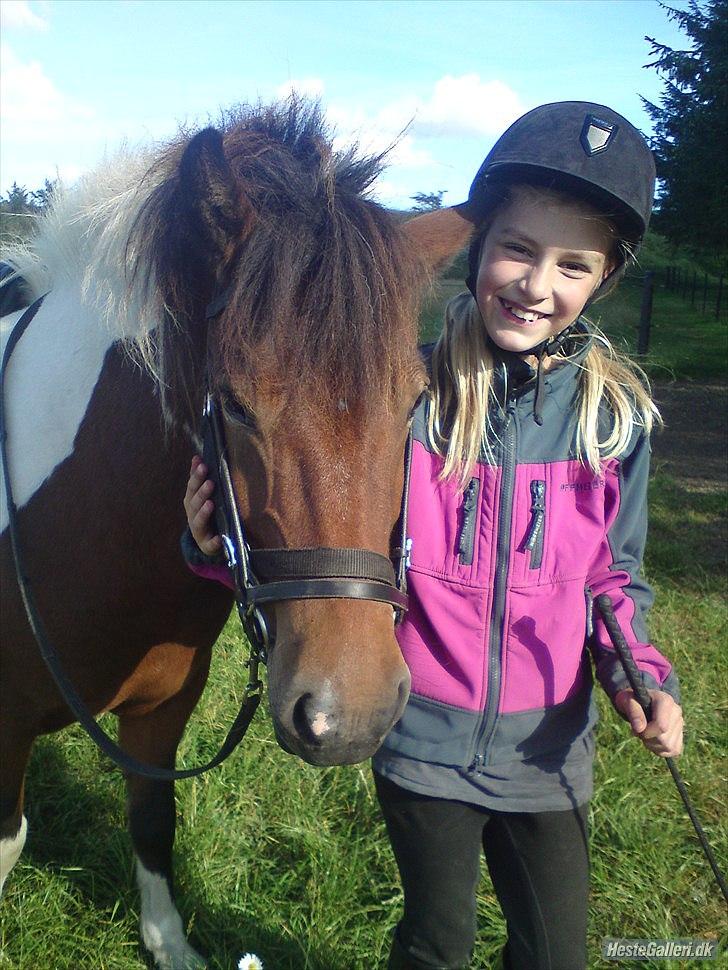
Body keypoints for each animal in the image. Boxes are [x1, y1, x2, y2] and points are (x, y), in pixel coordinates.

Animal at [0, 98, 475, 967]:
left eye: (413, 399)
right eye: (233, 401)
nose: (350, 712)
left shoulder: (161, 711)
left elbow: (152, 817)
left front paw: (168, 944)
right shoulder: (3, 722)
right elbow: (7, 843)